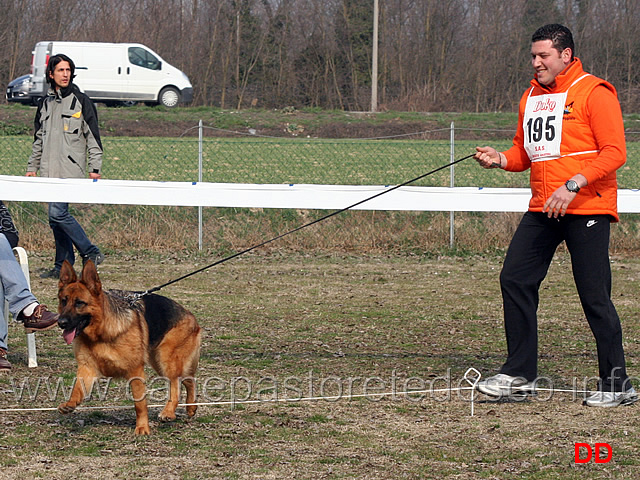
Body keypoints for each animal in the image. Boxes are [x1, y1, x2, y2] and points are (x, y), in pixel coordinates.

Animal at [59, 258, 202, 436]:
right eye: (63, 301)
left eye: (79, 303)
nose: (60, 323)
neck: (102, 333)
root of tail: (192, 317)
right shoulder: (87, 368)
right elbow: (77, 388)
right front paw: (70, 403)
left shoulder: (135, 371)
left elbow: (139, 404)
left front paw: (142, 428)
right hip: (159, 362)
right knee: (188, 380)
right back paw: (191, 408)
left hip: (166, 359)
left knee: (176, 384)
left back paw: (168, 412)